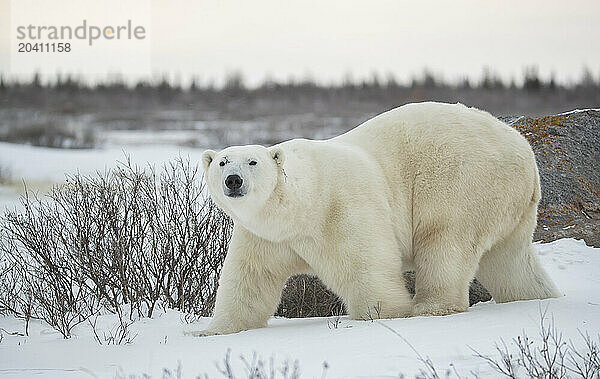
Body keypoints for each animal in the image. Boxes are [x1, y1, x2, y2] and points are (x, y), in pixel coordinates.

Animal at [193, 101, 564, 336]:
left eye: (252, 162)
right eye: (223, 162)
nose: (234, 181)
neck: (303, 206)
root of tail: (524, 149)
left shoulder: (341, 207)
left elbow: (366, 264)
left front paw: (385, 314)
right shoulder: (266, 236)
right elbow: (248, 279)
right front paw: (214, 332)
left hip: (463, 181)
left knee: (446, 242)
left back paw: (428, 307)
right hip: (510, 206)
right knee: (509, 260)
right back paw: (538, 297)